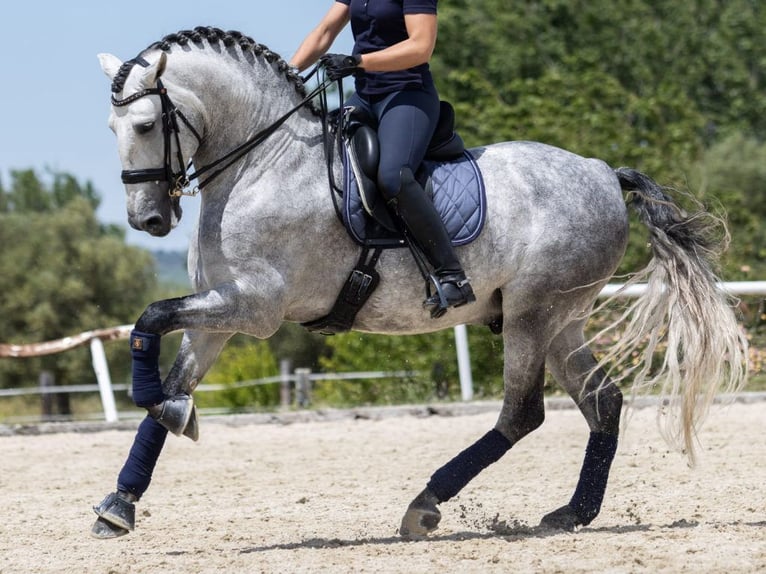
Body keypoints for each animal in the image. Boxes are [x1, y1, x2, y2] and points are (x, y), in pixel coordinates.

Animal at [93, 27, 748, 540]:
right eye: (111, 127)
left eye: (146, 124)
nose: (148, 220)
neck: (263, 164)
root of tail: (604, 172)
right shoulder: (218, 316)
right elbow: (168, 370)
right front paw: (122, 501)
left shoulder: (253, 306)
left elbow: (150, 319)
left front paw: (168, 412)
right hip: (563, 319)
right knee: (602, 402)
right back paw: (573, 513)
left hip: (533, 314)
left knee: (522, 414)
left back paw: (425, 505)